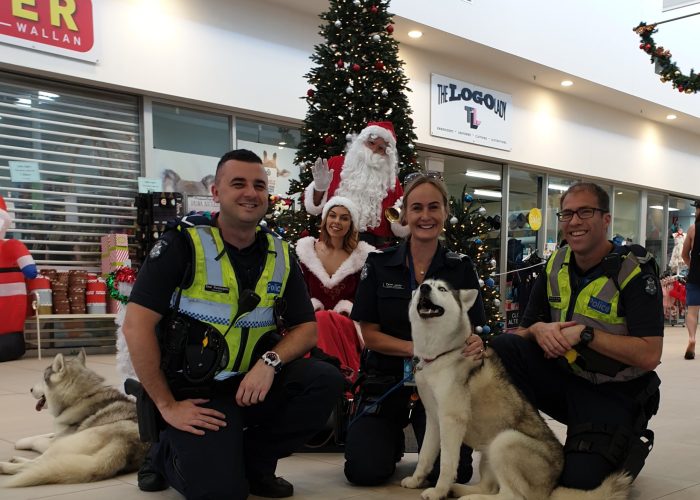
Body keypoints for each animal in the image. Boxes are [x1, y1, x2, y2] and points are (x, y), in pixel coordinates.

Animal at [0, 350, 149, 486]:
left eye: (43, 378)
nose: (30, 389)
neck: (81, 397)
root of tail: (125, 445)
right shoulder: (60, 430)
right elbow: (44, 434)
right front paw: (21, 441)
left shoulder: (57, 440)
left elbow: (39, 440)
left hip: (63, 445)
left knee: (36, 464)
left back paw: (6, 466)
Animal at [400, 280, 628, 500]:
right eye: (421, 286)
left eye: (441, 288)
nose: (424, 288)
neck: (440, 354)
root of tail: (551, 488)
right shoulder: (433, 418)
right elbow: (425, 455)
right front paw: (416, 480)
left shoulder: (451, 420)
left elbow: (447, 464)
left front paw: (438, 491)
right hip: (489, 450)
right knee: (490, 487)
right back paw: (459, 490)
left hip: (504, 441)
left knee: (513, 496)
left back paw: (470, 497)